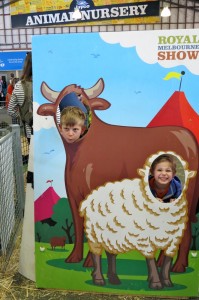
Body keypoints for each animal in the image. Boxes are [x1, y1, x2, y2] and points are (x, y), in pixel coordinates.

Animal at [37, 78, 199, 272]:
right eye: (61, 101)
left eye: (81, 97)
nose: (73, 115)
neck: (78, 154)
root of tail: (186, 135)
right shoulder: (73, 195)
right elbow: (78, 226)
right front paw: (74, 258)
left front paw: (90, 262)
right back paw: (162, 263)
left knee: (185, 230)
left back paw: (178, 267)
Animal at [79, 151, 196, 290]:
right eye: (159, 170)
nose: (164, 175)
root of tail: (88, 199)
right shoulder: (146, 241)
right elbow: (151, 262)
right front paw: (156, 283)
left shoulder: (173, 240)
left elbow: (167, 262)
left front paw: (167, 282)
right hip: (94, 234)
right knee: (96, 254)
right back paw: (98, 279)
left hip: (111, 234)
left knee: (111, 254)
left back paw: (113, 279)